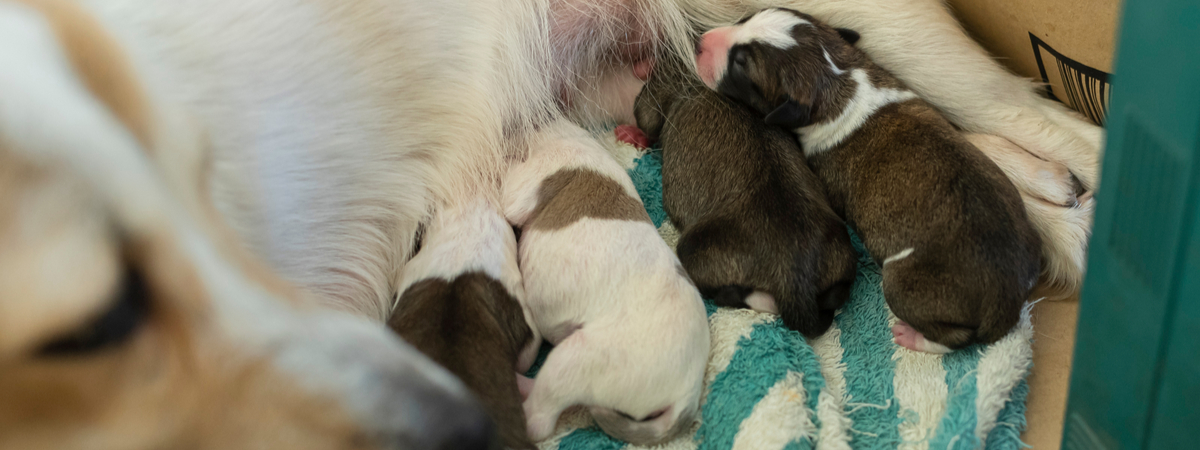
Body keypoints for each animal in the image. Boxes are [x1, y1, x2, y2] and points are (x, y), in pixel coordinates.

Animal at [633, 56, 859, 338]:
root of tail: (794, 279)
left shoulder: (659, 90)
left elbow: (645, 114)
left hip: (694, 247)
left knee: (728, 293)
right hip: (842, 252)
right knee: (836, 295)